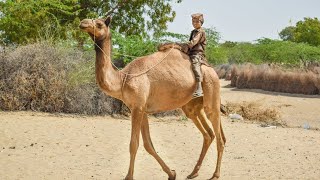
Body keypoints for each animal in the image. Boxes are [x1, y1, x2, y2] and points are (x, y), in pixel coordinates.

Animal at [79, 16, 226, 179]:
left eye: (99, 24)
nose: (83, 23)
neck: (122, 79)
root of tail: (213, 70)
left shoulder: (137, 108)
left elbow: (134, 144)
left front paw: (128, 177)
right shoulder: (141, 109)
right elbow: (148, 145)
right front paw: (172, 173)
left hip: (211, 92)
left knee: (219, 136)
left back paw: (215, 174)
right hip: (192, 106)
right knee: (208, 134)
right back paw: (193, 172)